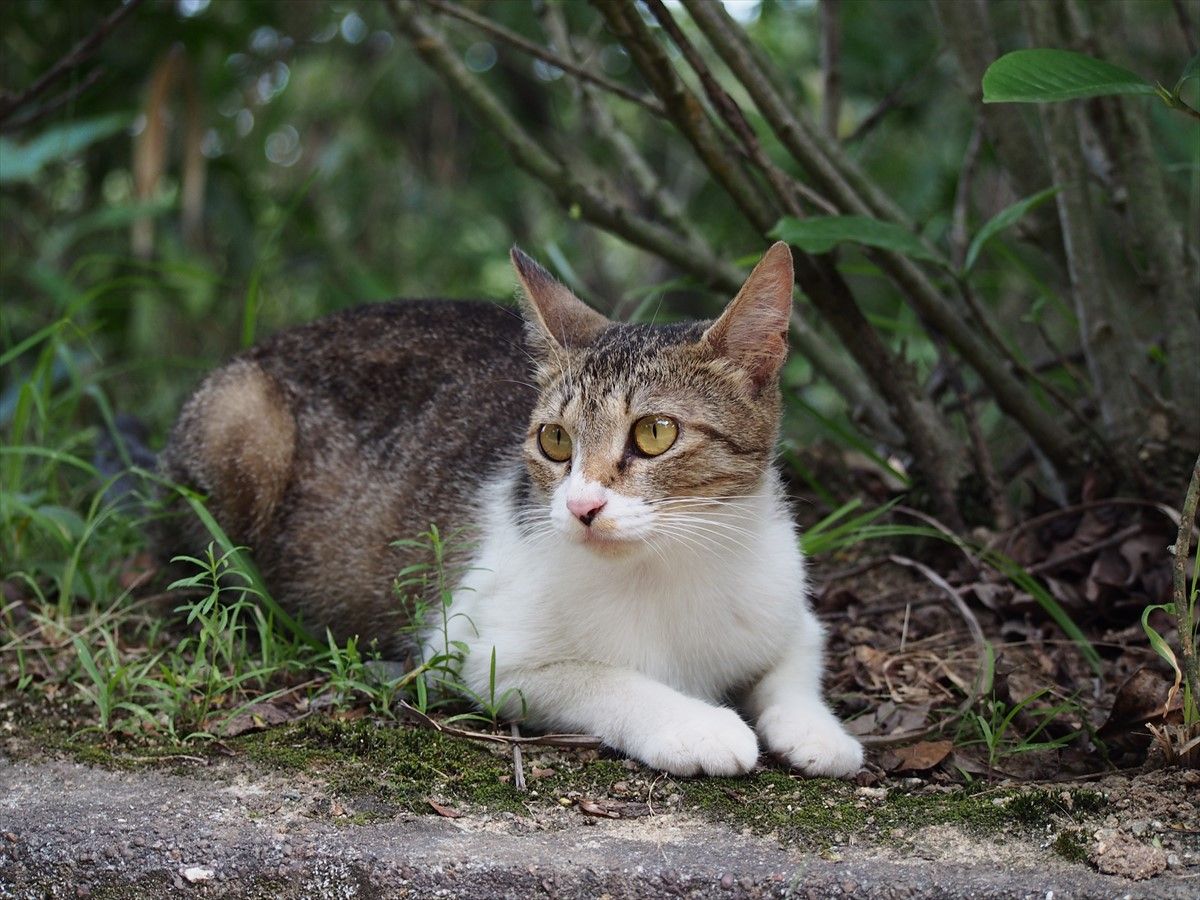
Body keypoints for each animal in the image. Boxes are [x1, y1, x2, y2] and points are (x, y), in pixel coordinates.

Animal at [156, 242, 864, 779]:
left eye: (654, 433)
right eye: (554, 440)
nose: (581, 504)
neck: (672, 564)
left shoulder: (783, 600)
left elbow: (799, 657)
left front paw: (819, 733)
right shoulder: (477, 648)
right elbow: (604, 678)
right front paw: (695, 724)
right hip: (239, 416)